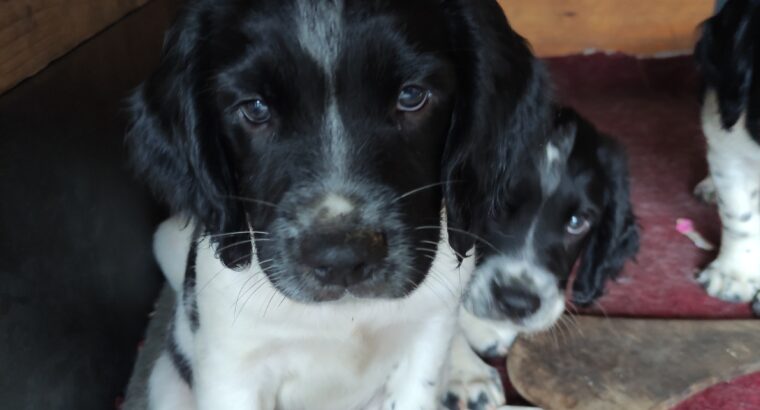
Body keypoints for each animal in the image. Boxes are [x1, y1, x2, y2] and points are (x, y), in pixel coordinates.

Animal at [126, 0, 552, 410]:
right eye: (256, 108)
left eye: (411, 96)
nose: (342, 259)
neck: (346, 317)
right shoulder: (232, 370)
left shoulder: (425, 342)